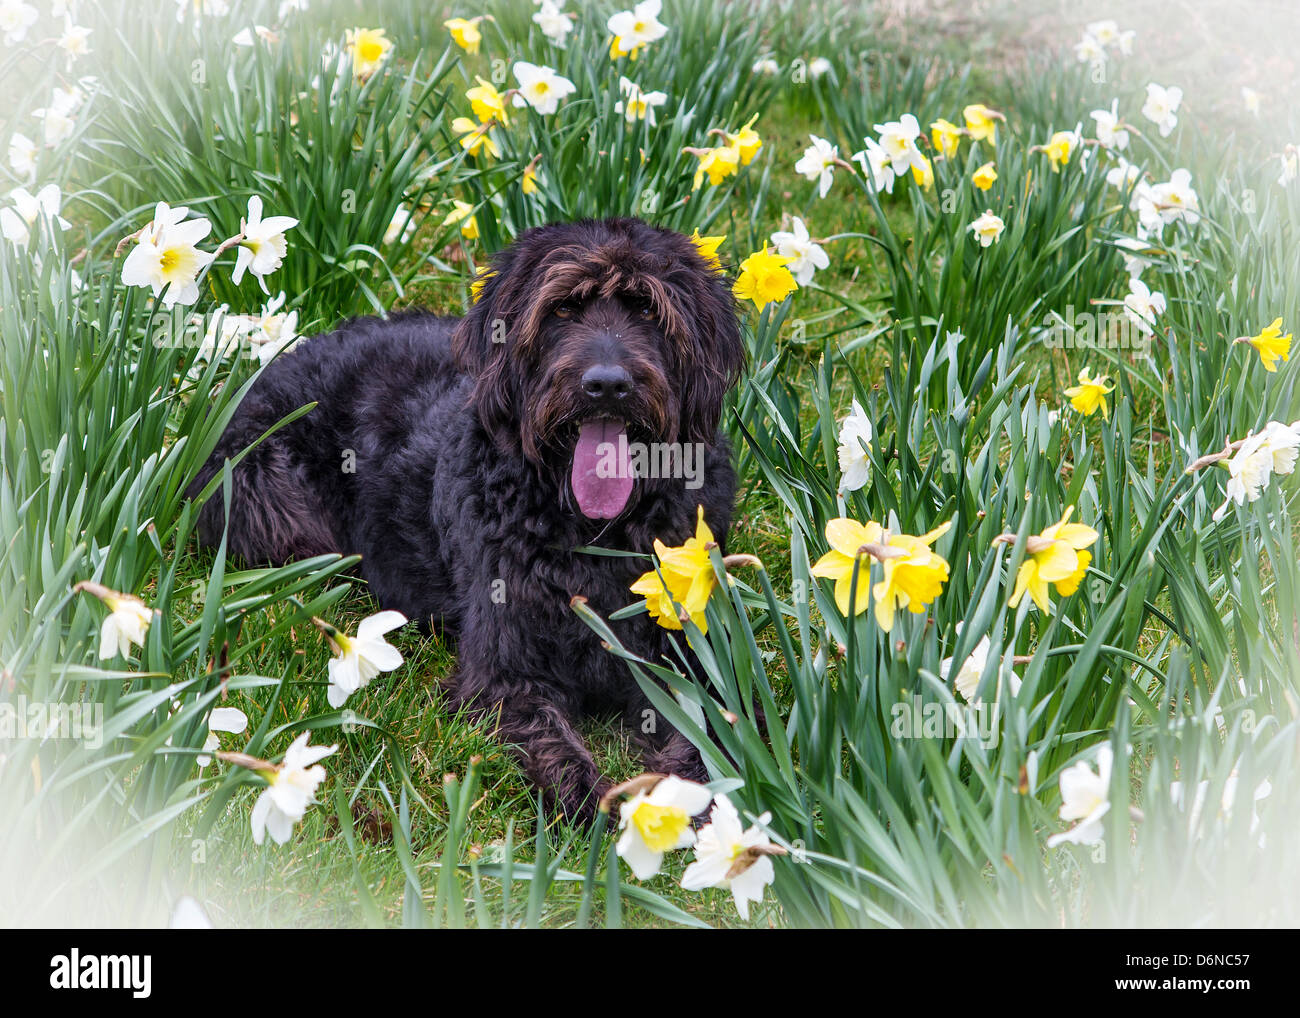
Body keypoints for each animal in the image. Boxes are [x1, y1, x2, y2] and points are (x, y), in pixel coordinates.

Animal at [188, 217, 748, 821]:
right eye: (562, 309)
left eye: (647, 308)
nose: (607, 384)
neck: (594, 532)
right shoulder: (506, 674)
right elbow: (550, 742)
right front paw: (596, 807)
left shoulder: (702, 659)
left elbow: (718, 737)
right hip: (271, 500)